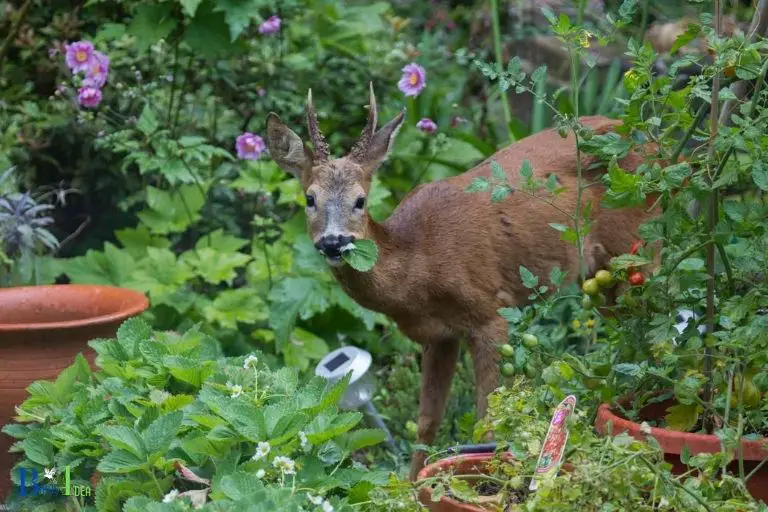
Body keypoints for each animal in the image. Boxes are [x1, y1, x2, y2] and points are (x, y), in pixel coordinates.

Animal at [266, 84, 660, 480]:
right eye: (310, 198)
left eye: (360, 200)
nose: (334, 242)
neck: (418, 265)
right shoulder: (437, 335)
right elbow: (426, 421)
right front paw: (412, 485)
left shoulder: (491, 313)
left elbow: (487, 420)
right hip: (599, 276)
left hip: (638, 246)